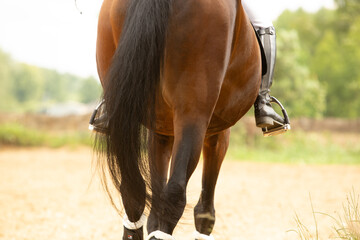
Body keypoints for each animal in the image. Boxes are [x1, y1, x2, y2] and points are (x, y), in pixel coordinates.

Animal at [95, 0, 262, 239]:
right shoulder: (217, 132)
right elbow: (204, 212)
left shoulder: (161, 130)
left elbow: (155, 206)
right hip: (193, 113)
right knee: (175, 194)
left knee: (133, 190)